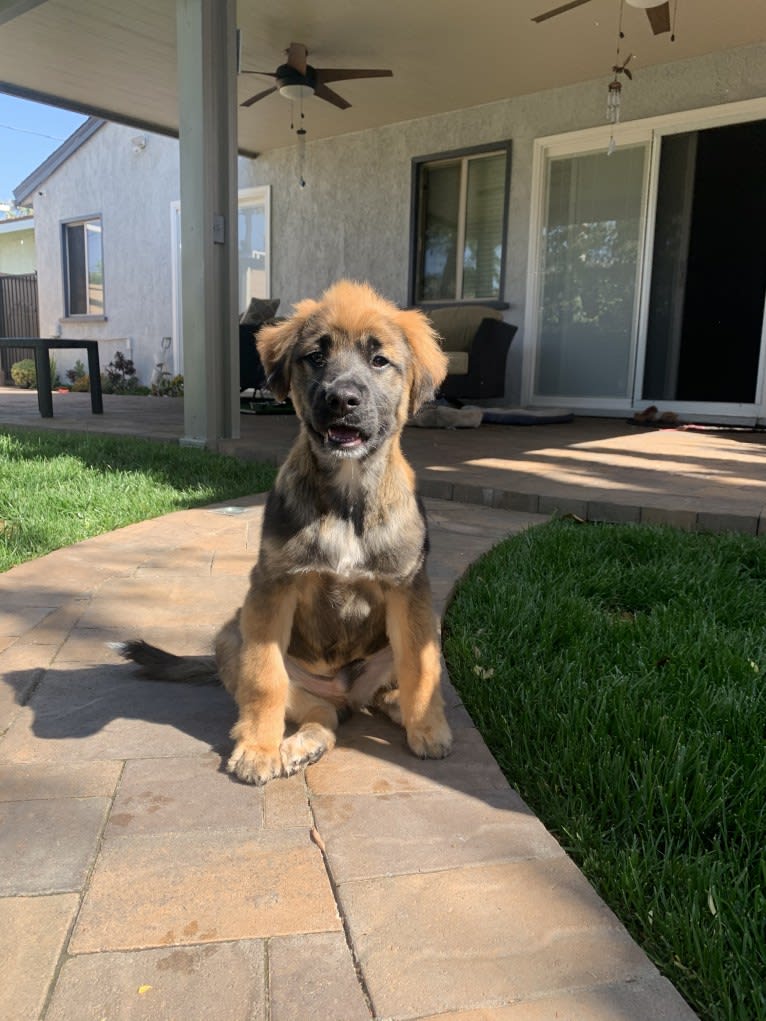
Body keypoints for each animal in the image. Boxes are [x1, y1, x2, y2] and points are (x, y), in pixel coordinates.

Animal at [120, 277, 453, 780]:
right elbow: (265, 680)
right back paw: (299, 744)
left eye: (379, 360)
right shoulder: (272, 588)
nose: (341, 400)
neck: (347, 499)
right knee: (322, 714)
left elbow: (422, 669)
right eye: (315, 356)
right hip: (233, 636)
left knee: (380, 696)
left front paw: (429, 729)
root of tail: (345, 691)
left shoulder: (409, 590)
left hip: (412, 635)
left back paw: (392, 713)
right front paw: (258, 748)